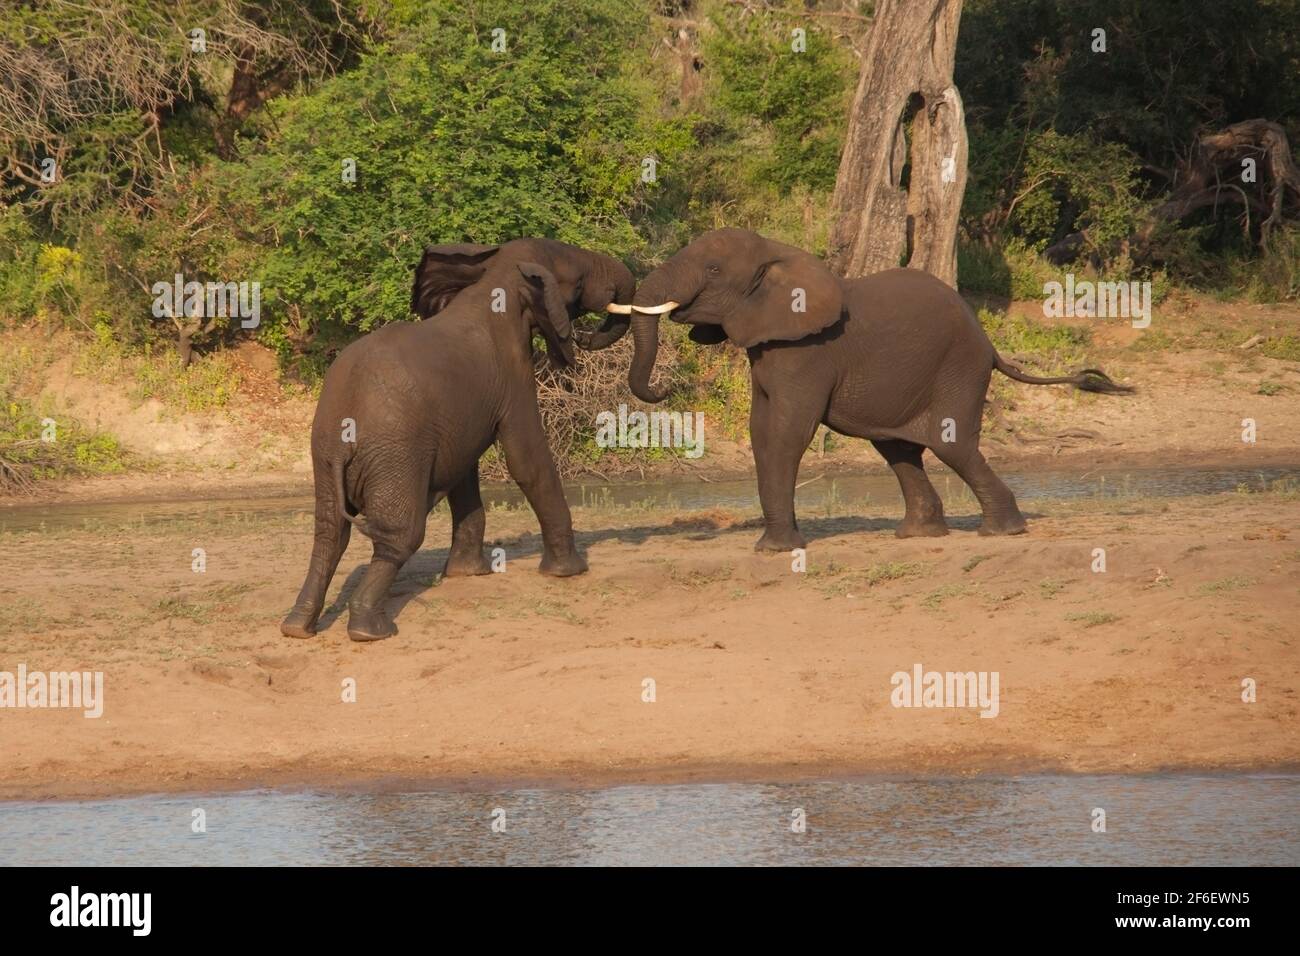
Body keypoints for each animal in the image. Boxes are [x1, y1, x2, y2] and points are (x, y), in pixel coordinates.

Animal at [279, 238, 634, 642]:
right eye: (577, 280)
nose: (585, 335)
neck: (494, 277)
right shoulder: (513, 373)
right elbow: (526, 459)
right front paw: (569, 573)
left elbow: (464, 471)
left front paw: (468, 573)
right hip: (395, 454)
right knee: (398, 536)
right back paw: (372, 631)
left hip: (324, 454)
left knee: (328, 535)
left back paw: (297, 628)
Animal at [618, 227, 1128, 548]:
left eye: (713, 270)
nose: (664, 391)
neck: (777, 254)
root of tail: (990, 342)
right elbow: (762, 431)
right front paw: (775, 545)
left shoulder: (806, 351)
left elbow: (786, 431)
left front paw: (774, 550)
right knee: (899, 449)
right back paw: (919, 536)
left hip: (959, 367)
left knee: (951, 444)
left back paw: (1002, 533)